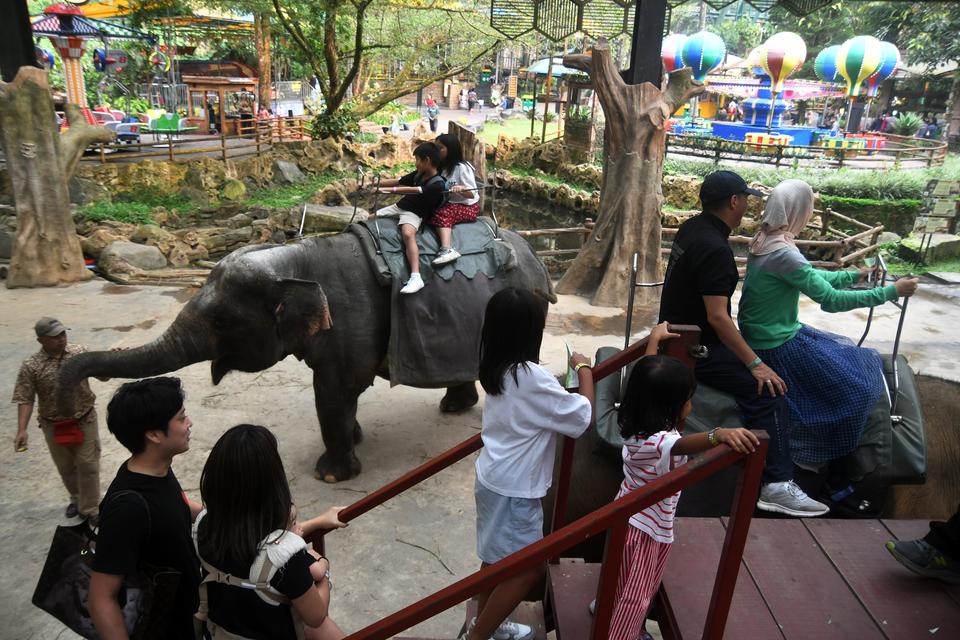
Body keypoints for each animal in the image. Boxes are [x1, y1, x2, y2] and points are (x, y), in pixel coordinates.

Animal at [58, 225, 556, 480]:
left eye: (222, 321)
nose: (79, 399)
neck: (293, 258)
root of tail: (534, 251)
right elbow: (340, 397)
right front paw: (356, 439)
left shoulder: (351, 328)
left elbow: (332, 392)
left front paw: (332, 475)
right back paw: (455, 407)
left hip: (528, 308)